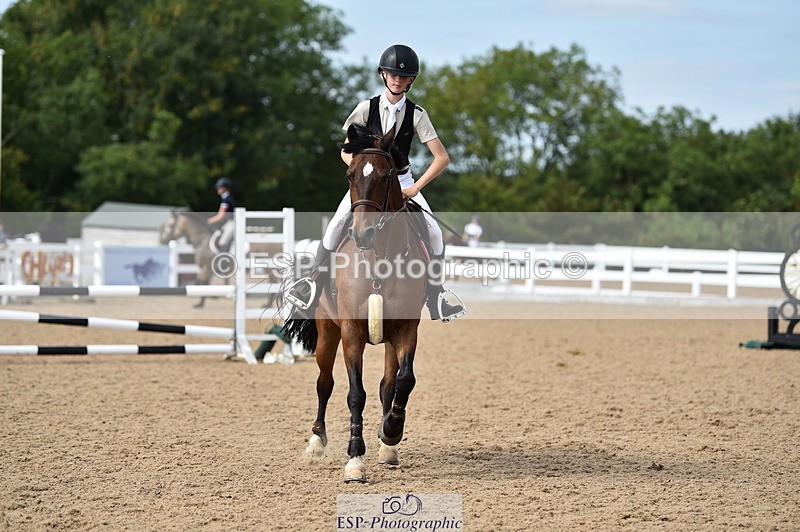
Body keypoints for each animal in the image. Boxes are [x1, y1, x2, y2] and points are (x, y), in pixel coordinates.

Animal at [283, 124, 429, 483]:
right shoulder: (351, 332)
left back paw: (387, 446)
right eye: (350, 175)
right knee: (324, 383)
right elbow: (354, 394)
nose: (362, 235)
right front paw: (354, 459)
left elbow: (403, 381)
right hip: (327, 332)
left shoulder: (406, 329)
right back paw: (316, 442)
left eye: (387, 174)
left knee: (388, 385)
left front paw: (390, 431)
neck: (380, 259)